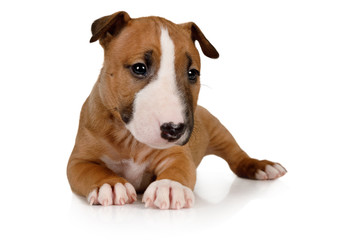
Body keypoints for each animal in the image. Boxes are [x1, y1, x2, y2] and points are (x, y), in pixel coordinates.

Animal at [67, 11, 286, 209]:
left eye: (192, 73)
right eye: (139, 68)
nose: (174, 129)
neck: (130, 140)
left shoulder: (177, 154)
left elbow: (179, 168)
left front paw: (169, 186)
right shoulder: (79, 160)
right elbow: (92, 171)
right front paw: (111, 184)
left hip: (219, 130)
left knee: (237, 156)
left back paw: (261, 166)